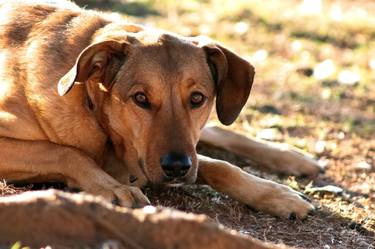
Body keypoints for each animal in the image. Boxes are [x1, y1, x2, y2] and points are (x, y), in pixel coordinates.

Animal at [0, 0, 324, 218]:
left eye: (197, 98)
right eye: (141, 98)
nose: (177, 167)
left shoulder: (182, 154)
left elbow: (219, 165)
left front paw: (274, 193)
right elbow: (67, 152)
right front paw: (113, 188)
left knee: (218, 132)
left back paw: (293, 157)